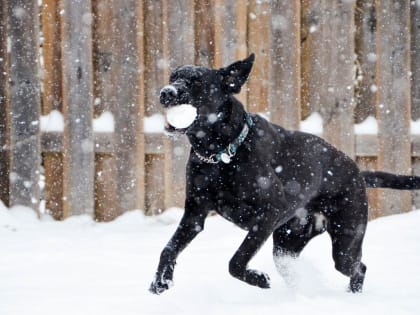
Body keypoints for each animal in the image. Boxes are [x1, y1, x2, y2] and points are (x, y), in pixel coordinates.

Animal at [149, 53, 420, 296]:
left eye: (197, 82)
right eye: (172, 77)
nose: (166, 92)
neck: (221, 154)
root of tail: (357, 172)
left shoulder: (269, 212)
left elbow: (236, 261)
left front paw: (258, 279)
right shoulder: (194, 214)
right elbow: (168, 249)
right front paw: (160, 282)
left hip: (346, 240)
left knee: (359, 267)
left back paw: (353, 295)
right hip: (287, 244)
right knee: (296, 269)